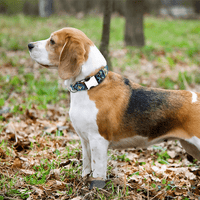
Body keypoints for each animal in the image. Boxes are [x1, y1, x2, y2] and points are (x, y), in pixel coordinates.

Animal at [28, 27, 200, 189]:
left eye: (52, 41)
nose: (29, 45)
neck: (90, 84)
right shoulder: (85, 140)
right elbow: (86, 166)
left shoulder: (98, 141)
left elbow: (98, 172)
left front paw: (95, 190)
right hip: (191, 147)